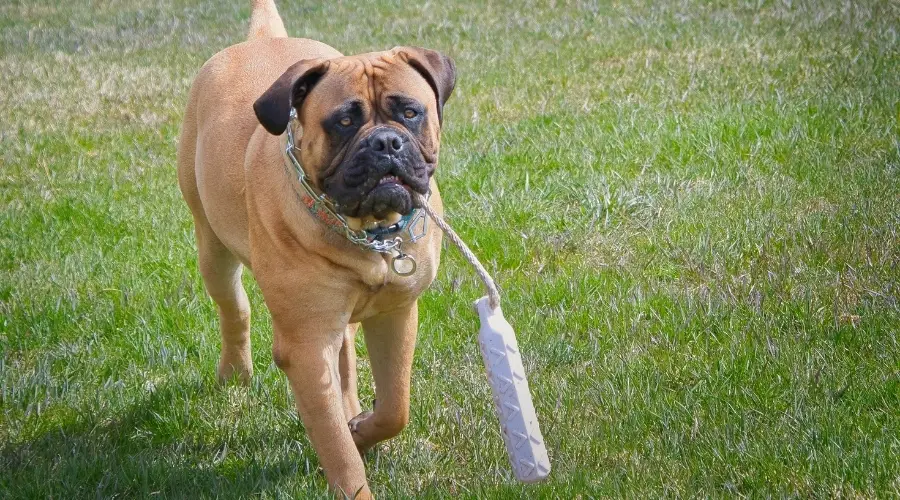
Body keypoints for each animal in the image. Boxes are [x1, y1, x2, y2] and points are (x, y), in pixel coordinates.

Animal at [177, 0, 458, 496]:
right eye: (344, 122)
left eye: (409, 112)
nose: (386, 142)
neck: (368, 232)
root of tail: (263, 39)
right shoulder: (307, 347)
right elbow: (337, 449)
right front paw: (353, 469)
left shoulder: (395, 315)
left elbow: (395, 406)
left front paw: (362, 428)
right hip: (212, 248)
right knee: (235, 308)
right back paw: (235, 372)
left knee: (346, 354)